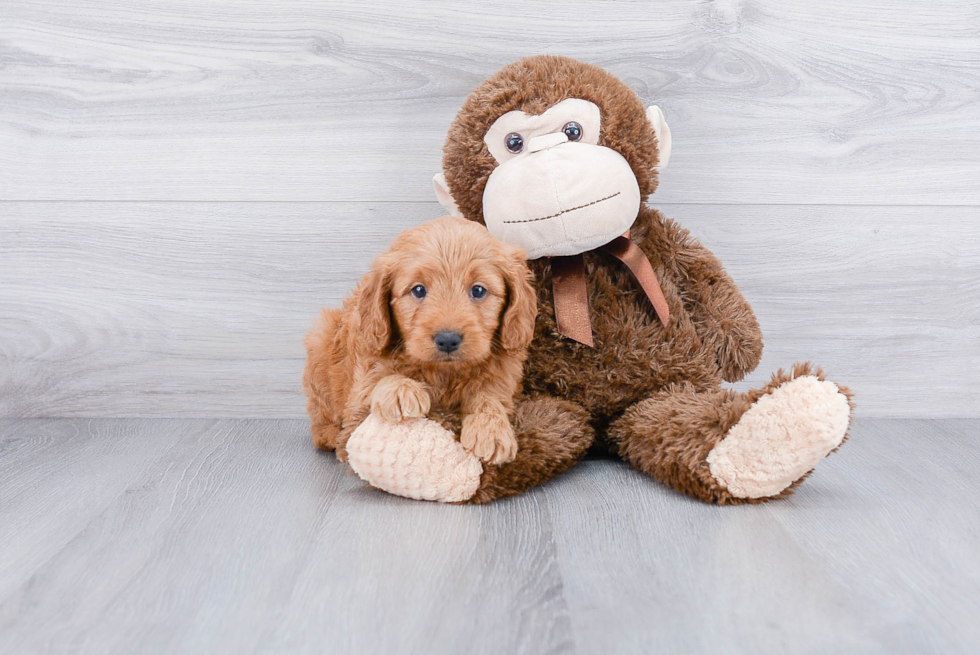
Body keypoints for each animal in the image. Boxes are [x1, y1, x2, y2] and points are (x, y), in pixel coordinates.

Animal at [304, 215, 536, 466]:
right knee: (319, 413)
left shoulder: (504, 379)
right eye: (418, 290)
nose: (448, 339)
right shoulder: (360, 392)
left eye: (478, 290)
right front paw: (401, 390)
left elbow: (490, 397)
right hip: (320, 338)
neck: (444, 373)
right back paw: (327, 433)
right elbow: (377, 383)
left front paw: (491, 429)